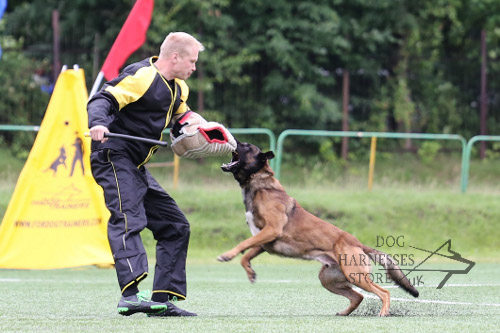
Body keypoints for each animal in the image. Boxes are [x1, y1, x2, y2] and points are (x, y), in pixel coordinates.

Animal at [219, 141, 418, 316]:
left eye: (246, 146)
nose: (232, 139)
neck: (259, 185)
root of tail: (358, 243)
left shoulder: (272, 229)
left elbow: (243, 243)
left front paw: (227, 255)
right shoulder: (264, 240)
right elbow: (246, 255)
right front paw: (250, 272)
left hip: (354, 275)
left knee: (384, 292)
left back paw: (383, 313)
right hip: (329, 278)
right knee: (358, 296)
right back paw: (345, 313)